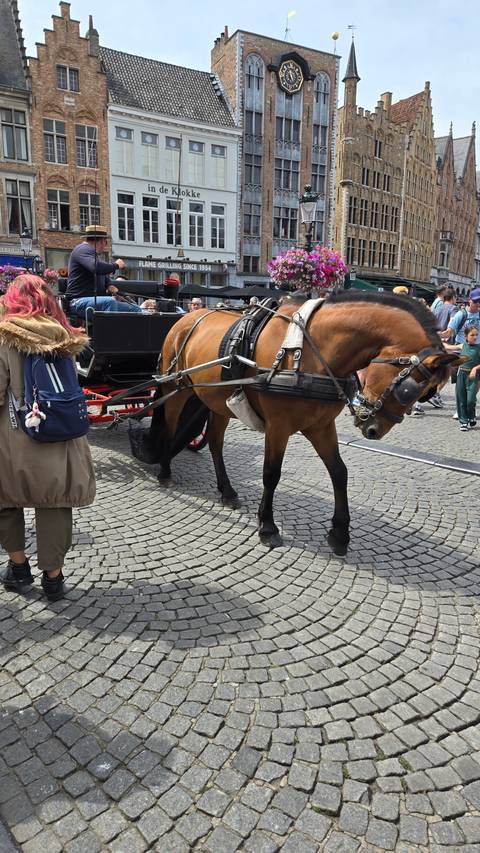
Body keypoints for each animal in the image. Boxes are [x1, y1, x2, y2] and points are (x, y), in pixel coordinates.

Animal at [133, 292, 462, 555]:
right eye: (410, 390)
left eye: (425, 393)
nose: (373, 430)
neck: (309, 351)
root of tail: (186, 318)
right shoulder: (278, 427)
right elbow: (271, 474)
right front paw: (267, 527)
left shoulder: (320, 426)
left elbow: (339, 473)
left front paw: (340, 533)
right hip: (176, 389)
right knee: (171, 429)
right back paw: (165, 472)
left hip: (215, 400)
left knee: (214, 443)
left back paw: (226, 491)